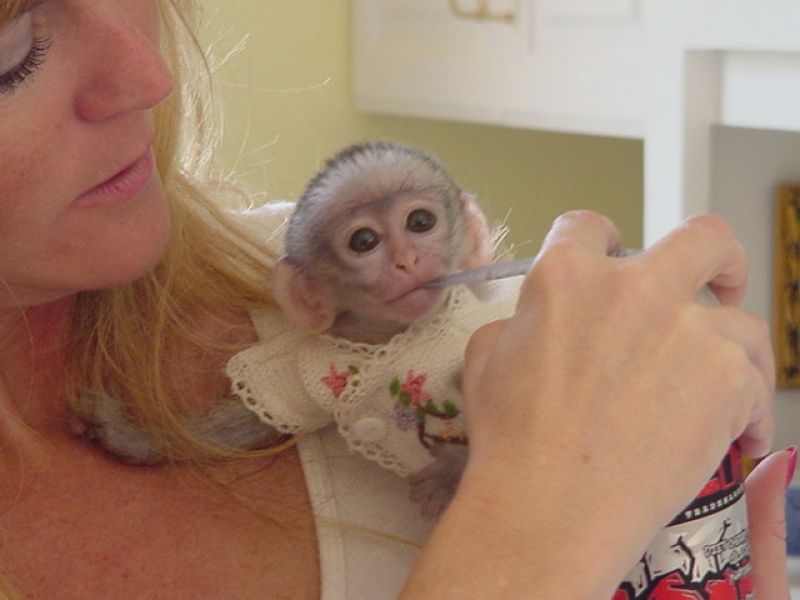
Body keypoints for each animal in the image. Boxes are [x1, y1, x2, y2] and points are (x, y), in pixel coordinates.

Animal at [73, 141, 521, 518]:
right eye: (364, 241)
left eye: (421, 221)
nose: (407, 260)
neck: (391, 340)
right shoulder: (307, 369)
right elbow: (256, 418)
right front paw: (132, 435)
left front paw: (452, 471)